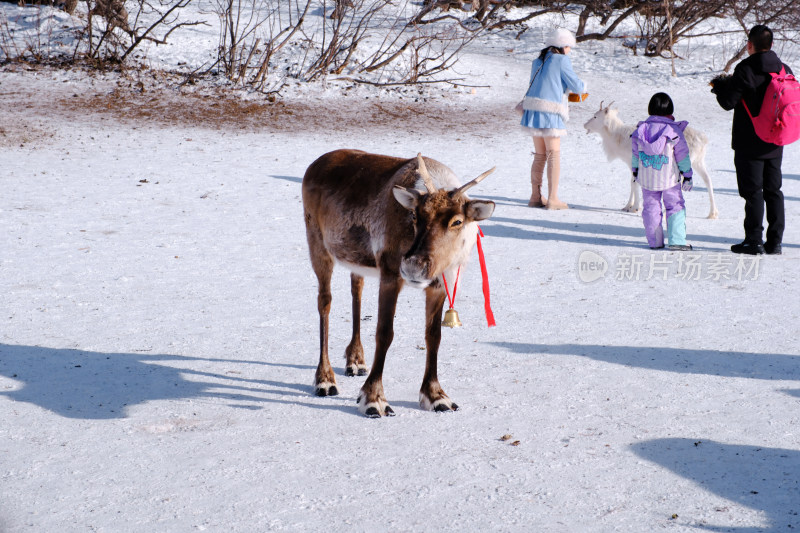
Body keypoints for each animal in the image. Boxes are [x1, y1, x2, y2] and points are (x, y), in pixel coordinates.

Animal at [580, 102, 720, 218]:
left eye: (595, 116)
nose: (584, 124)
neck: (616, 138)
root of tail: (703, 140)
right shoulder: (631, 164)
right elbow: (632, 183)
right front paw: (627, 206)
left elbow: (635, 183)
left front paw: (636, 208)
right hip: (698, 161)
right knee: (708, 179)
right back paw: (712, 213)